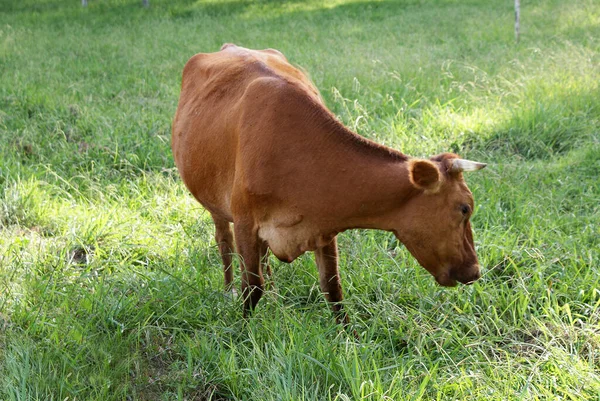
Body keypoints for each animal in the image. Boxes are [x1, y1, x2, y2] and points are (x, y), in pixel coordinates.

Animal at [171, 43, 486, 324]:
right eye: (465, 209)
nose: (475, 271)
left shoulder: (323, 226)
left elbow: (333, 287)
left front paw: (348, 337)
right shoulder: (246, 221)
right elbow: (251, 286)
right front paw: (242, 334)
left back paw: (274, 295)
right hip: (215, 202)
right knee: (224, 242)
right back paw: (228, 291)